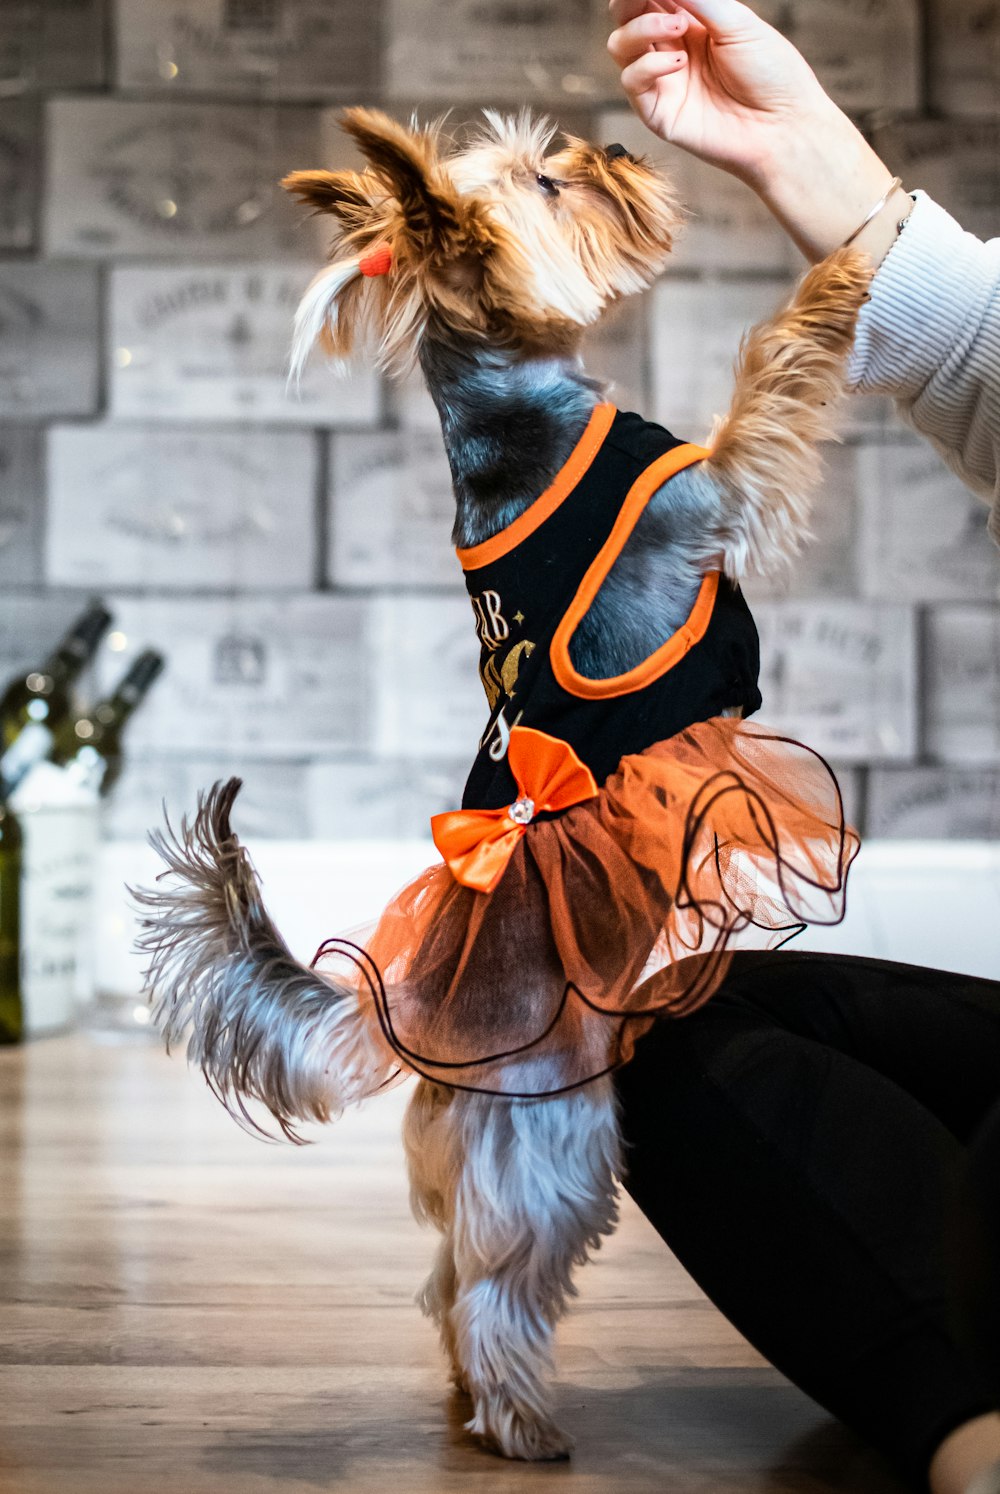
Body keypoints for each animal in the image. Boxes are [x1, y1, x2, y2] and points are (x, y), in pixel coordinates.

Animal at [136, 110, 866, 1464]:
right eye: (545, 182)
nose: (613, 142)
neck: (520, 402)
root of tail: (418, 1014)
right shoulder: (708, 493)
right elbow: (769, 368)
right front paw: (842, 270)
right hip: (553, 1133)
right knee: (498, 1281)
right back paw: (518, 1420)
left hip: (468, 1143)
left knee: (446, 1269)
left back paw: (465, 1398)